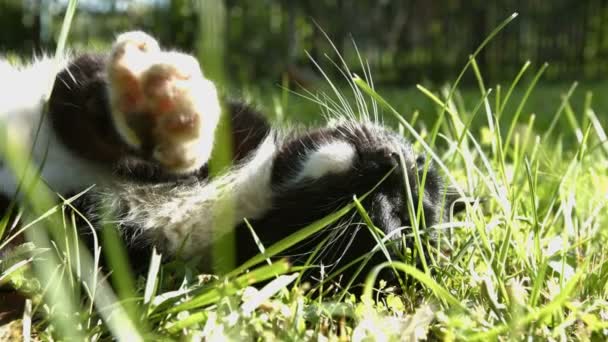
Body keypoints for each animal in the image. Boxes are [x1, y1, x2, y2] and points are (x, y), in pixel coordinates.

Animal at [0, 31, 460, 284]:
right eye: (421, 168)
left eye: (397, 218)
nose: (394, 163)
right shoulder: (243, 123)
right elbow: (73, 90)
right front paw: (154, 105)